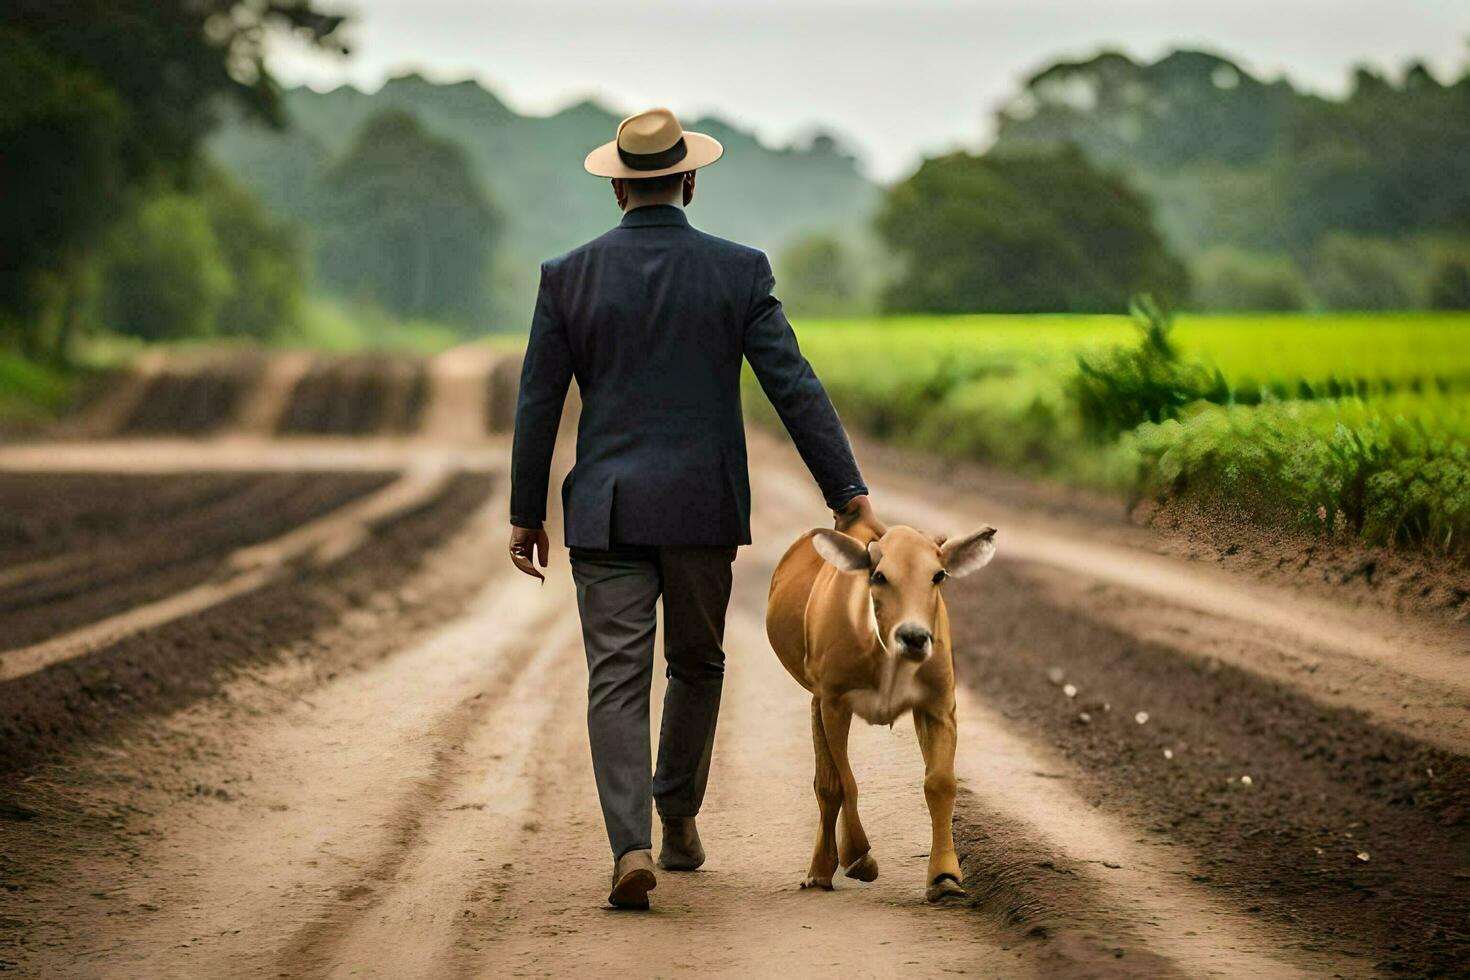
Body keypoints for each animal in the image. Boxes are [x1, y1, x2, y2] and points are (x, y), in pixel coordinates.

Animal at [764, 514, 993, 905]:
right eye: (880, 576)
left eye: (938, 575)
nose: (914, 637)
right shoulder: (835, 700)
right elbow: (845, 782)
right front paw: (858, 856)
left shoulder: (939, 704)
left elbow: (940, 782)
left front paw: (945, 876)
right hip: (817, 698)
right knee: (827, 785)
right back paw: (821, 869)